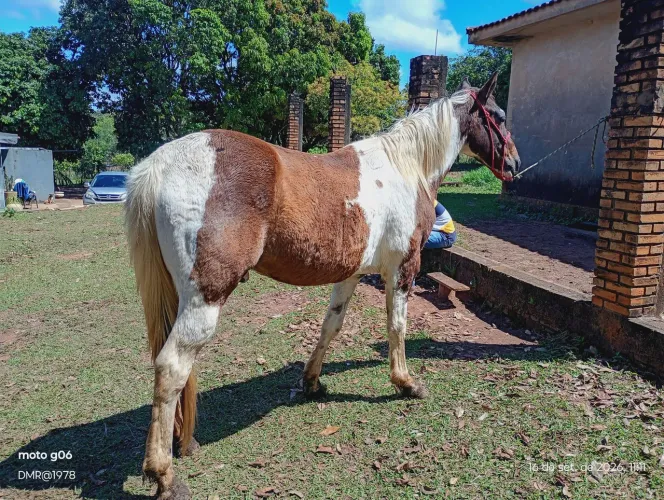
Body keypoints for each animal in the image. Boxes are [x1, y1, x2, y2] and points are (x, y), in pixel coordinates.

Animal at [125, 72, 520, 499]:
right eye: (499, 116)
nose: (515, 164)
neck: (404, 167)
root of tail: (162, 163)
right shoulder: (403, 268)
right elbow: (396, 325)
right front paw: (405, 383)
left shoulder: (351, 274)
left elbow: (331, 326)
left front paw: (312, 382)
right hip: (206, 298)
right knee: (172, 367)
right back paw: (163, 474)